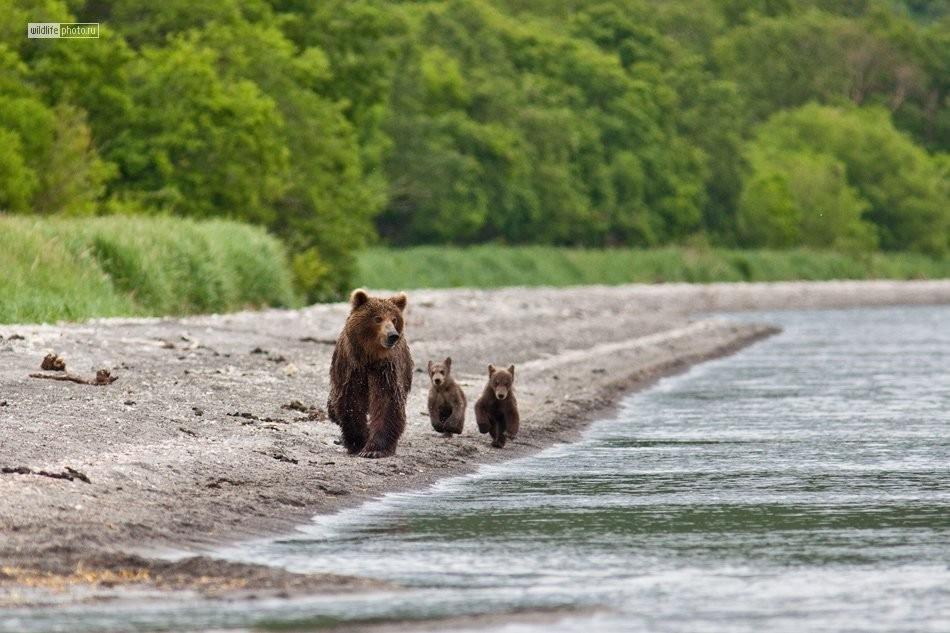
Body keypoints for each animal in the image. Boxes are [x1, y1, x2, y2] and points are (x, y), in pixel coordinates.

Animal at [328, 288, 412, 456]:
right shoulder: (352, 369)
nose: (392, 335)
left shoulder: (385, 369)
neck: (370, 357)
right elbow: (351, 402)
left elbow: (386, 403)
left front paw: (374, 449)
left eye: (394, 319)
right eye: (377, 318)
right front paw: (358, 442)